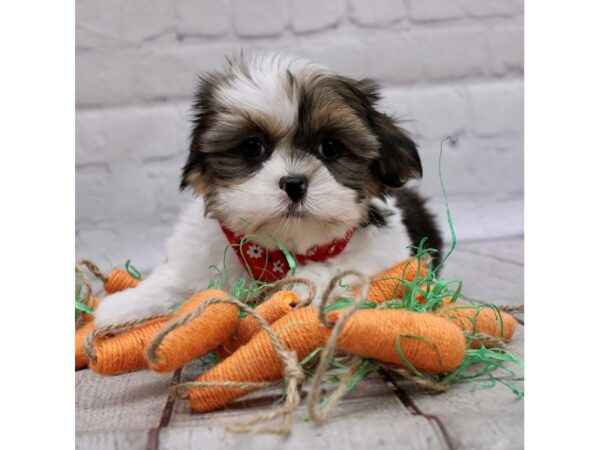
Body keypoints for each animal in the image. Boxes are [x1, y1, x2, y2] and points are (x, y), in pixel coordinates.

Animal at [94, 52, 440, 326]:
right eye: (252, 147)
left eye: (330, 147)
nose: (294, 183)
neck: (276, 252)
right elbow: (177, 275)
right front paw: (123, 304)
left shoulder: (386, 254)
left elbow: (336, 267)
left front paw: (299, 286)